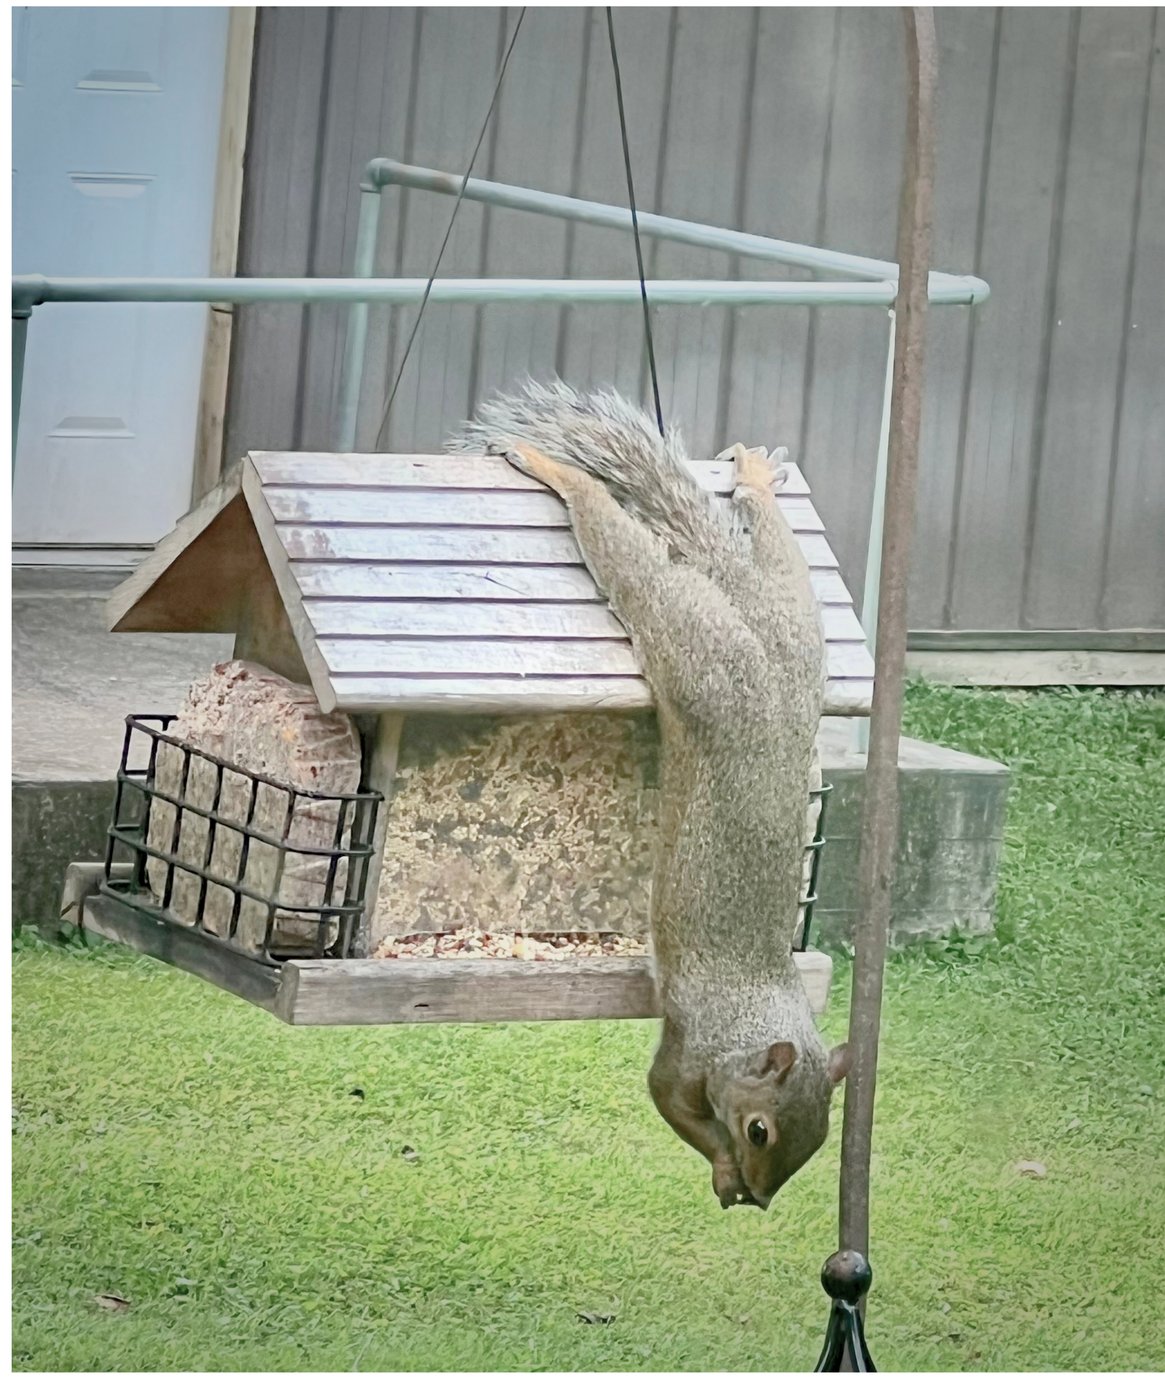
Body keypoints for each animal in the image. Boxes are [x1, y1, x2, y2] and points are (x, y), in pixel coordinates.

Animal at [449, 380, 850, 1210]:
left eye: (819, 1142)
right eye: (759, 1130)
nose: (763, 1200)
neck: (752, 1015)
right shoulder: (687, 1049)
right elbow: (665, 1100)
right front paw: (723, 1172)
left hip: (794, 633)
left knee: (777, 559)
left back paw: (755, 481)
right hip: (696, 649)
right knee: (632, 561)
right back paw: (556, 472)